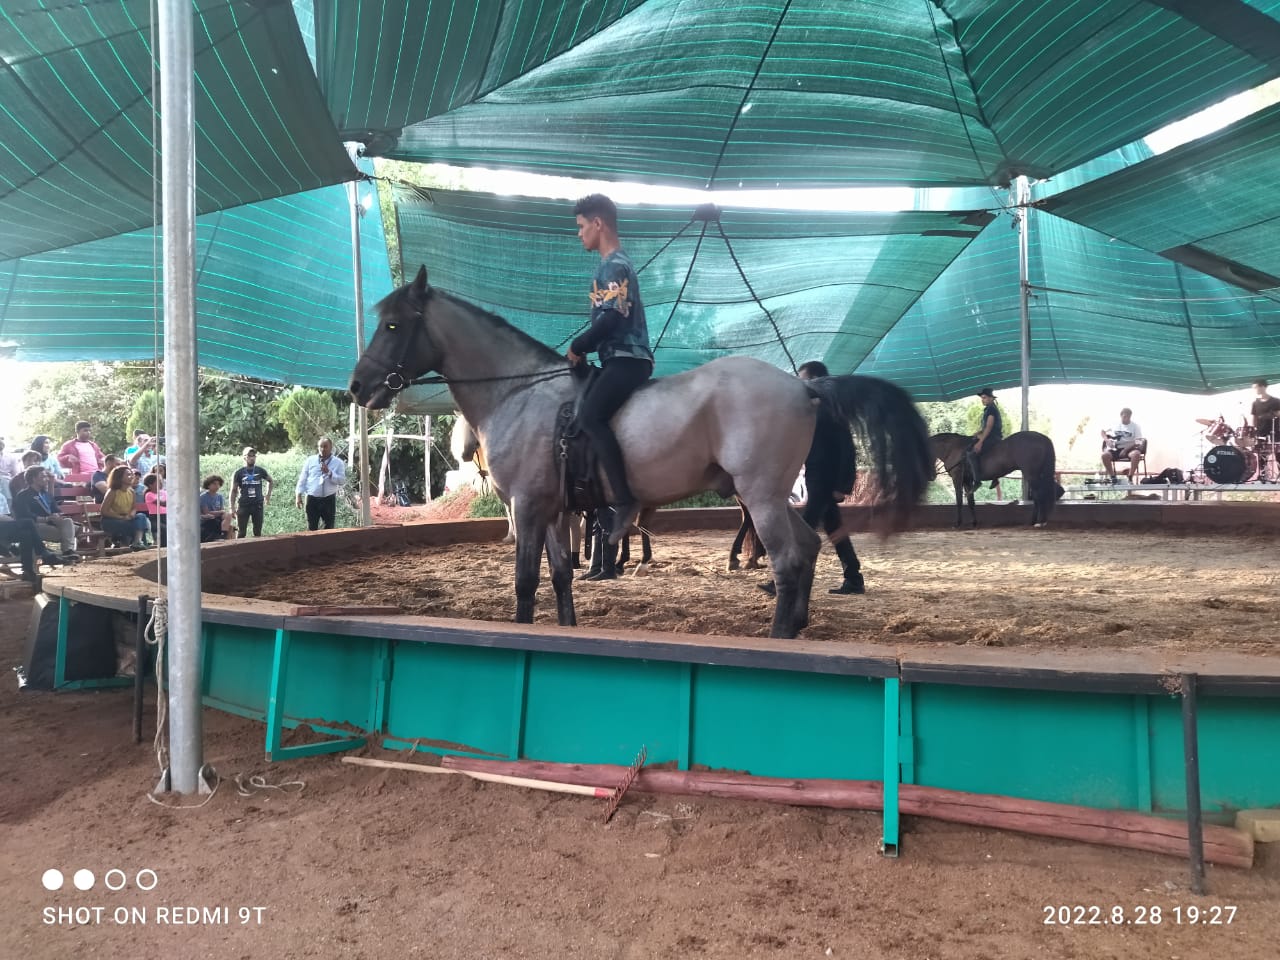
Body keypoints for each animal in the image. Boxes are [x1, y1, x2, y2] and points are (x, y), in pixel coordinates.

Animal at [350, 267, 931, 640]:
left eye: (394, 325)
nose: (358, 388)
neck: (519, 392)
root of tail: (803, 387)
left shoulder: (528, 507)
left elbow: (526, 584)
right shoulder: (555, 511)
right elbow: (561, 579)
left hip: (762, 497)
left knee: (789, 559)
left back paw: (779, 635)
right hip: (769, 495)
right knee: (808, 547)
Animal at [931, 432, 1059, 529]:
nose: (932, 477)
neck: (953, 449)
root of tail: (1043, 438)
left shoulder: (957, 478)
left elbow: (959, 501)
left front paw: (958, 523)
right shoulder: (967, 480)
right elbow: (971, 502)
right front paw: (974, 523)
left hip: (1031, 474)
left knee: (1040, 496)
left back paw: (1040, 522)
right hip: (1036, 475)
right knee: (1039, 497)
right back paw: (1034, 521)